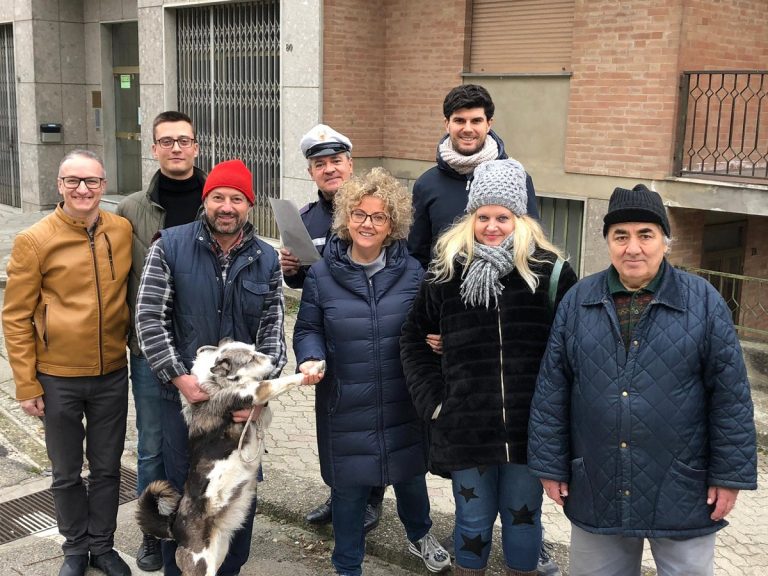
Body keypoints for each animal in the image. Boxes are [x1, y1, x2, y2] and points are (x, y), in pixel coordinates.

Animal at [138, 340, 324, 572]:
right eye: (251, 359)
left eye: (256, 349)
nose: (275, 359)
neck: (216, 381)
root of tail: (174, 526)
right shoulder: (253, 393)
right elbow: (279, 382)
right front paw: (313, 370)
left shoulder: (261, 414)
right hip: (201, 563)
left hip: (219, 553)